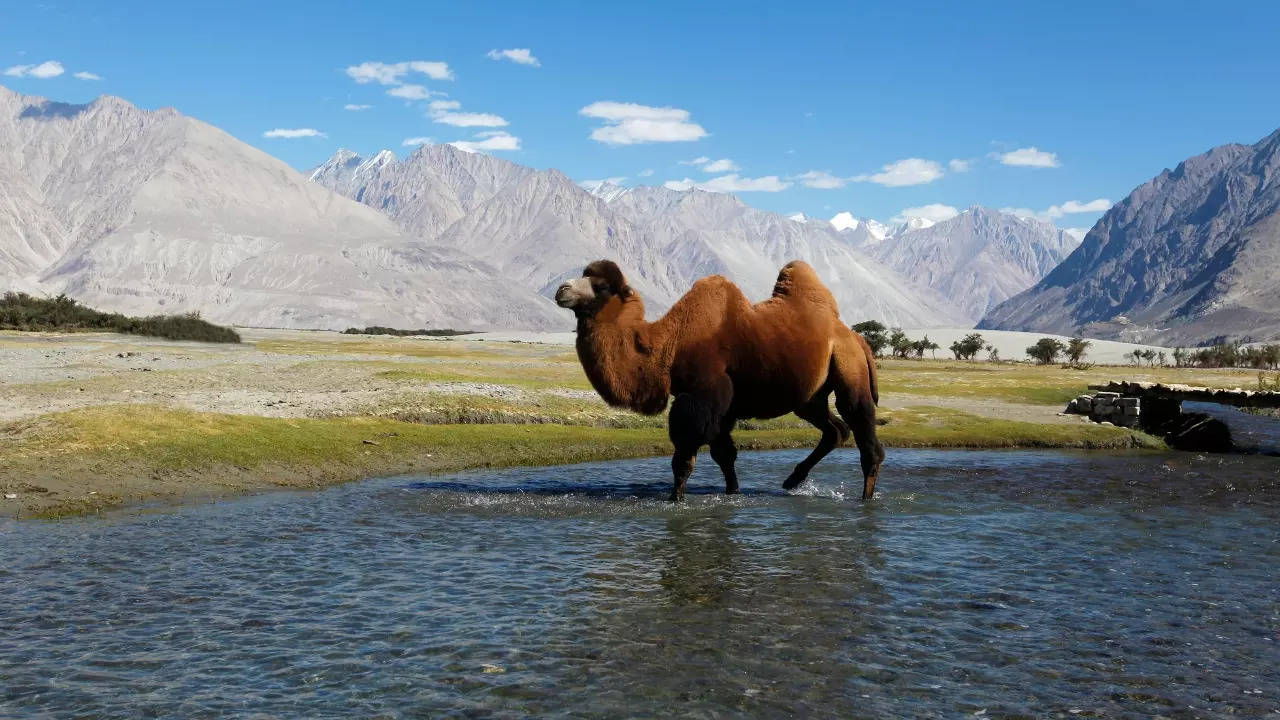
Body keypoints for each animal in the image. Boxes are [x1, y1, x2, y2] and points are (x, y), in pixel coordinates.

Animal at [555, 257, 885, 499]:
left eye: (600, 286)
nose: (562, 289)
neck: (670, 343)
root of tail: (856, 338)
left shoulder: (702, 396)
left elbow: (685, 456)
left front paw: (675, 499)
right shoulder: (723, 407)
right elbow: (724, 453)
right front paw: (733, 492)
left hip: (849, 369)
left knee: (863, 431)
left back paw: (865, 499)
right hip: (809, 397)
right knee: (835, 429)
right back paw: (792, 481)